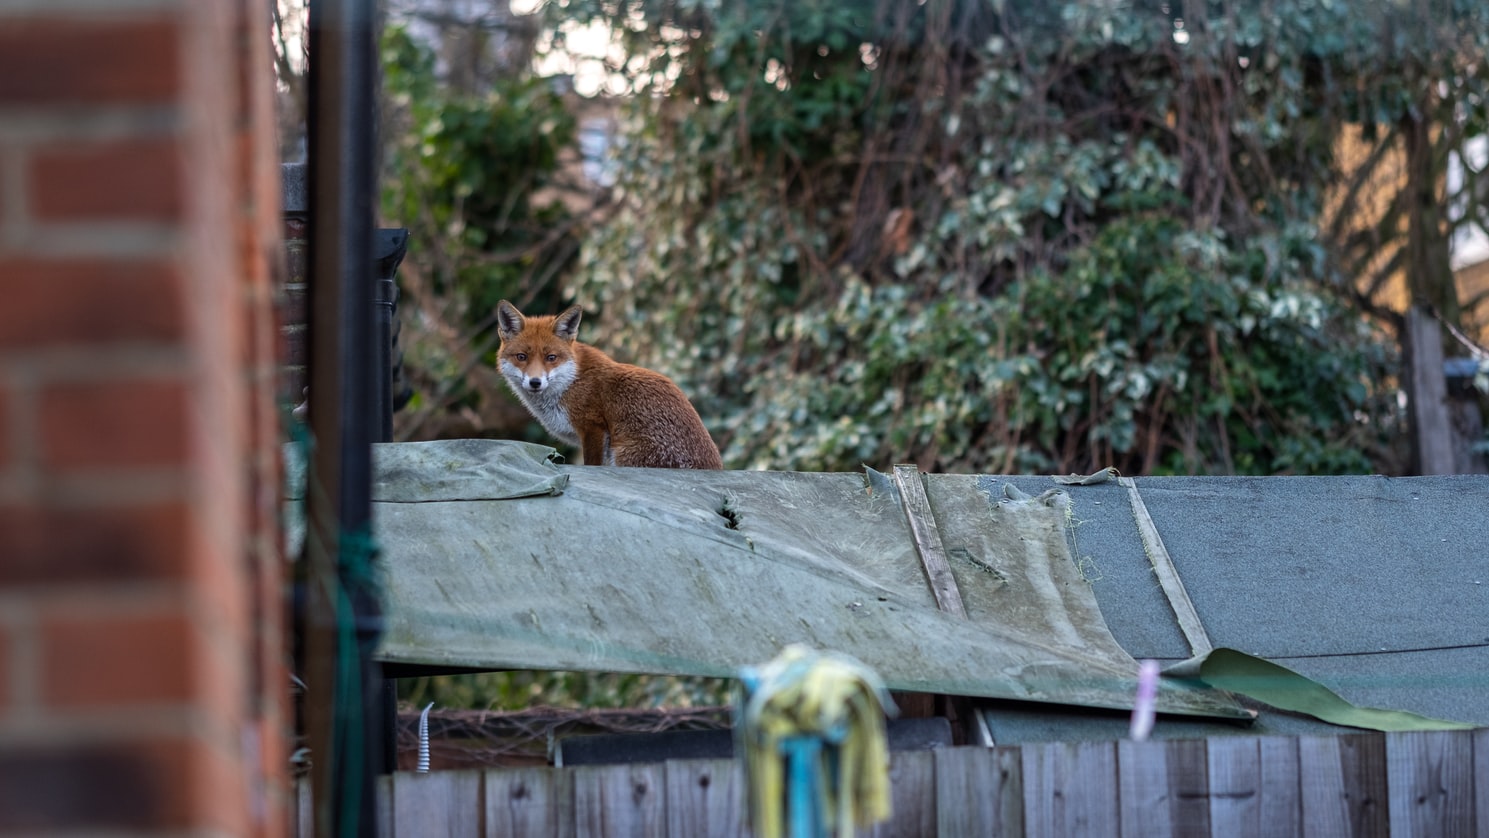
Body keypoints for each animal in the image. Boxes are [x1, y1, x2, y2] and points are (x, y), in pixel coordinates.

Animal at [494, 302, 720, 473]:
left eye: (551, 358)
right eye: (521, 357)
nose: (535, 382)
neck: (572, 381)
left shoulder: (593, 427)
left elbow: (592, 465)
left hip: (621, 454)